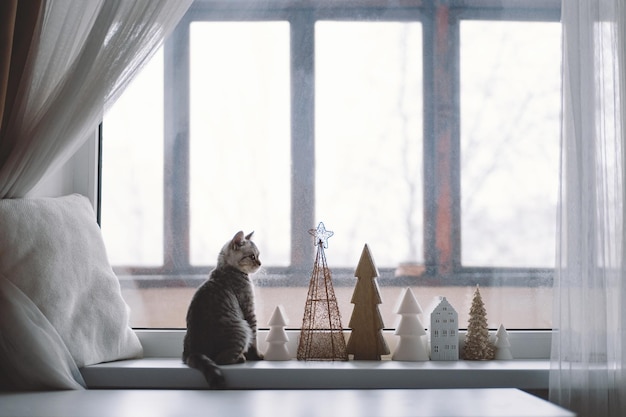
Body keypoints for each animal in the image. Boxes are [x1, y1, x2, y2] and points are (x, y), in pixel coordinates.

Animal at [182, 231, 262, 386]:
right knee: (221, 359)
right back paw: (240, 358)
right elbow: (254, 340)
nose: (260, 263)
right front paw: (256, 355)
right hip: (242, 329)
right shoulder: (250, 311)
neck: (226, 268)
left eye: (258, 255)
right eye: (252, 256)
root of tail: (193, 352)